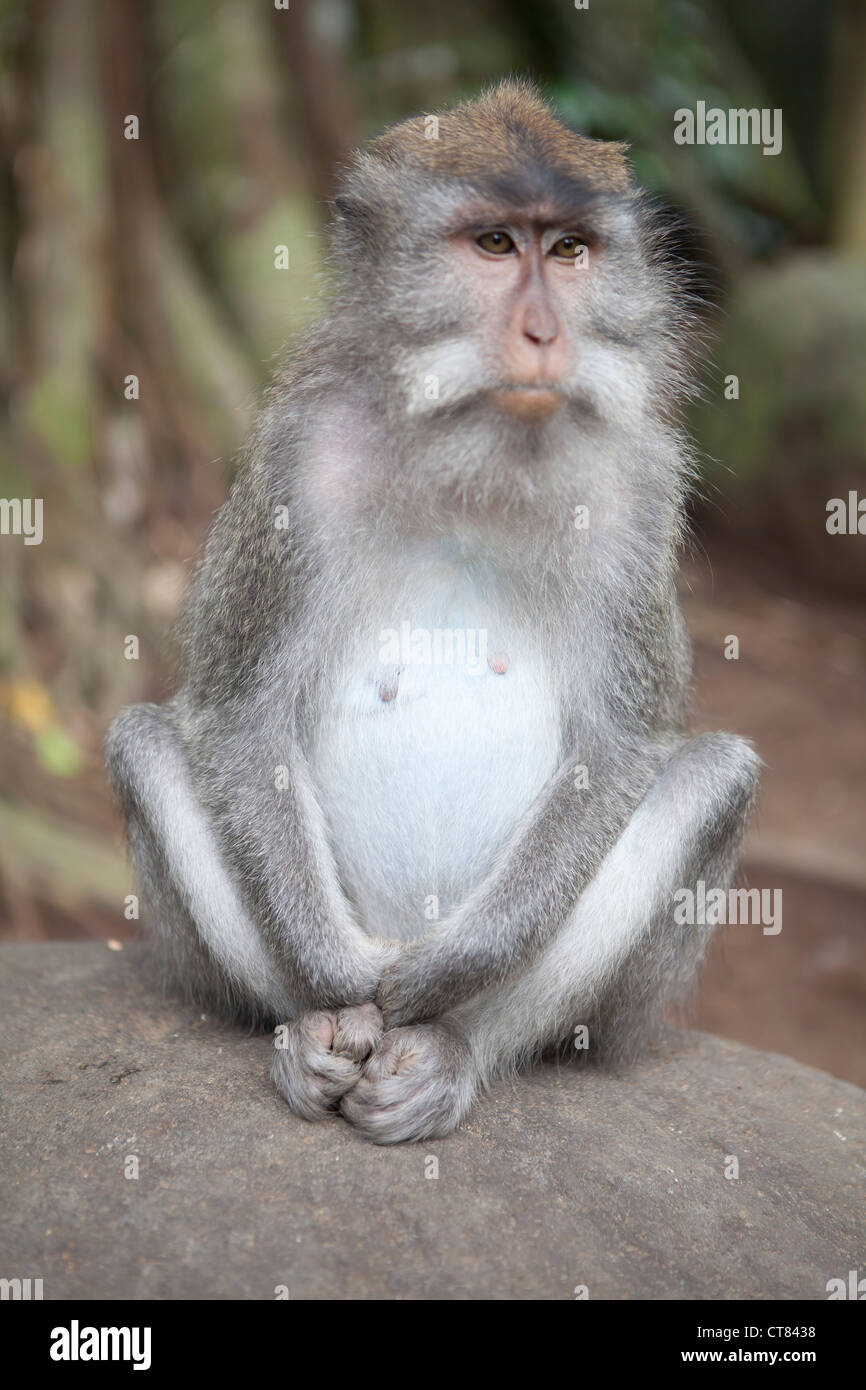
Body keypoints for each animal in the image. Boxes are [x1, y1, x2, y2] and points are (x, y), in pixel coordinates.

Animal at [107, 84, 756, 1139]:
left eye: (569, 250)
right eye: (494, 244)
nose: (544, 333)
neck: (476, 461)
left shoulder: (639, 494)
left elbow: (619, 748)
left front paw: (445, 979)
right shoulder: (295, 460)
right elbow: (240, 717)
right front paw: (336, 974)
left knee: (714, 778)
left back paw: (447, 1050)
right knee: (147, 743)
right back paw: (316, 1030)